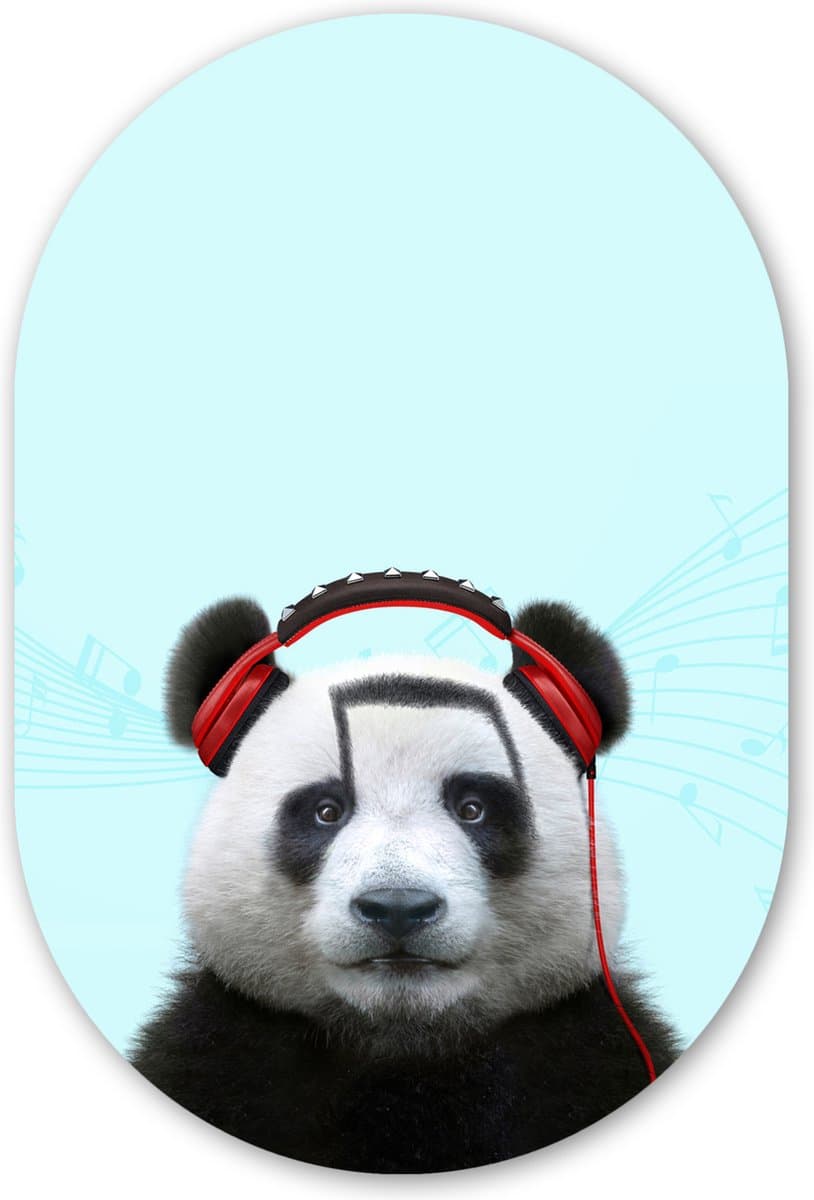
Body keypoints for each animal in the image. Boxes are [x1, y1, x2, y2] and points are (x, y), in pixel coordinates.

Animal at [130, 592, 680, 1172]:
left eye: (473, 808)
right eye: (326, 810)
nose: (397, 907)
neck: (404, 1050)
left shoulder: (593, 1054)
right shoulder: (218, 1055)